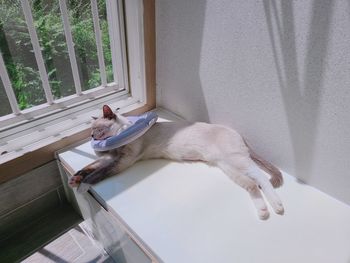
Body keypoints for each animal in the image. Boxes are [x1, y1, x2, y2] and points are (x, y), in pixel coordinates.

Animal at [69, 105, 284, 221]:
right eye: (91, 130)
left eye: (97, 129)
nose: (91, 136)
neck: (120, 135)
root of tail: (239, 134)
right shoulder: (111, 158)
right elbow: (89, 168)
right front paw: (75, 179)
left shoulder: (123, 161)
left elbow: (97, 174)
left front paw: (82, 187)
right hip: (227, 166)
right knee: (252, 184)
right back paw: (264, 211)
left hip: (235, 161)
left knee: (260, 176)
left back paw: (278, 206)